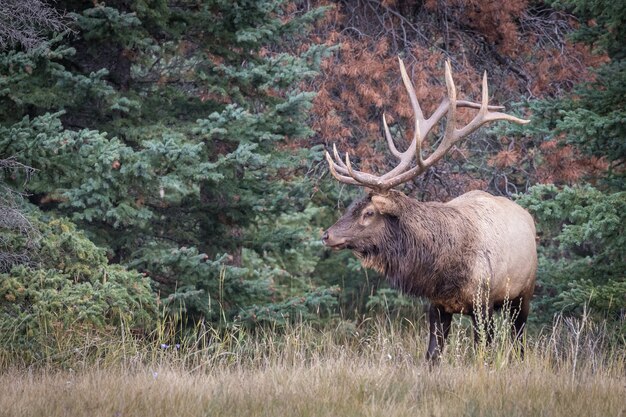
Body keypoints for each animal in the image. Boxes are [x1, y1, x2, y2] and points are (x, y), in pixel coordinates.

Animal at [322, 58, 536, 360]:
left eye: (369, 213)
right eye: (353, 205)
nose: (327, 235)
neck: (446, 266)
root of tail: (527, 216)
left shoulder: (483, 302)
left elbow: (483, 353)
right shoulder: (437, 304)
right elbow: (432, 354)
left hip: (522, 294)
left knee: (519, 341)